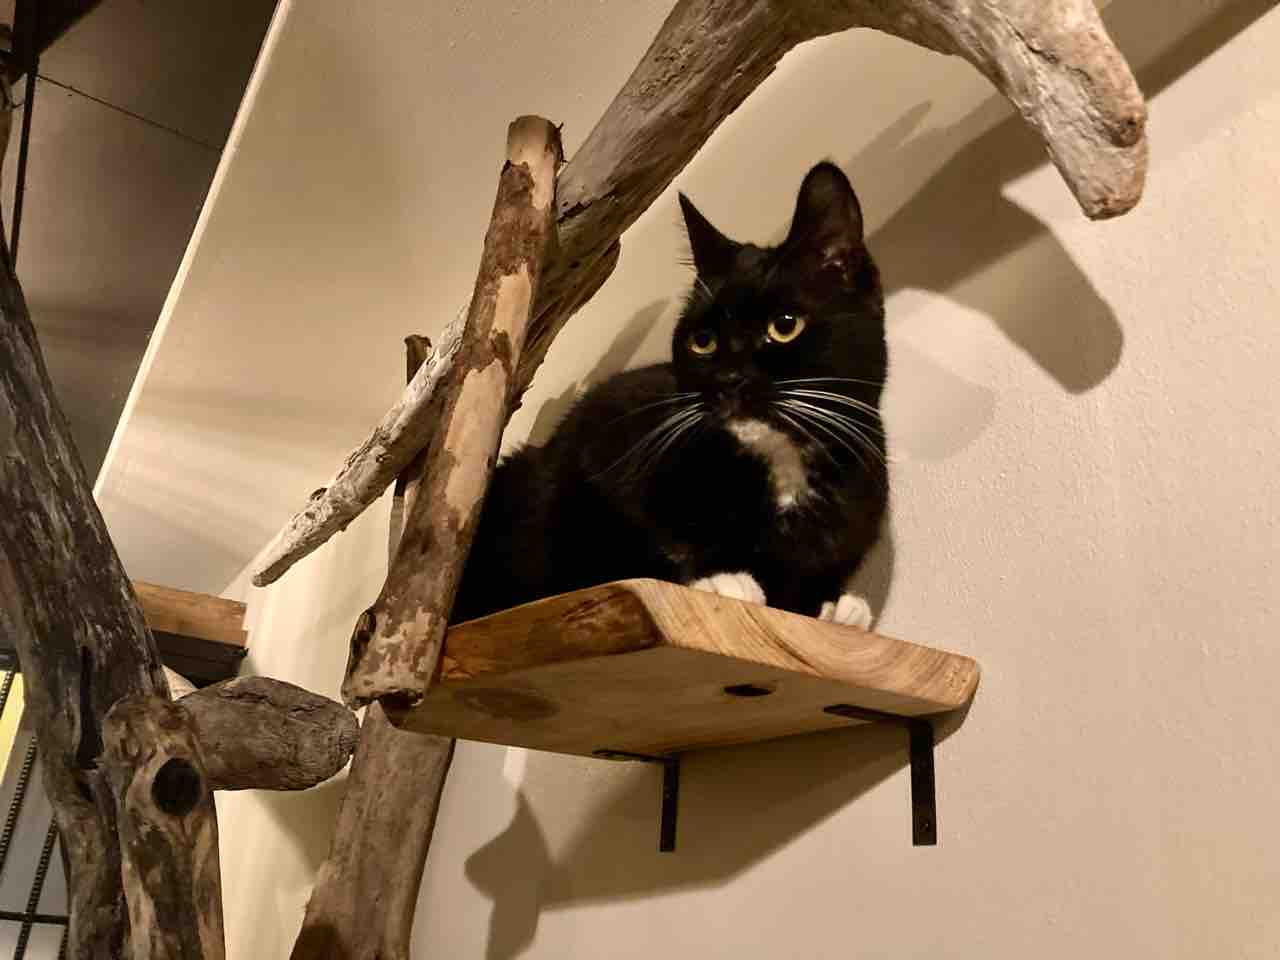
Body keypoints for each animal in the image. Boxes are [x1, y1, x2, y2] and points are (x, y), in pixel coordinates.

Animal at [451, 162, 888, 628]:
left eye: (784, 325)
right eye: (703, 340)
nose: (729, 379)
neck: (781, 461)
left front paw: (837, 606)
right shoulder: (598, 442)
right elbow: (616, 539)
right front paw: (724, 579)